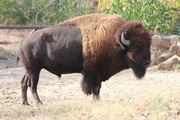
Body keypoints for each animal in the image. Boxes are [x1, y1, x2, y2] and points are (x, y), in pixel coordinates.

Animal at [18, 13, 151, 105]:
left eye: (149, 44)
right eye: (136, 47)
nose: (148, 62)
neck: (115, 40)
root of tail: (24, 41)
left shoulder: (98, 73)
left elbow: (97, 88)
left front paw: (96, 100)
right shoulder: (93, 72)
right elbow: (95, 88)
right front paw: (95, 100)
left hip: (30, 70)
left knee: (24, 82)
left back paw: (26, 103)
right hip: (34, 70)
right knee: (33, 85)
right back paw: (39, 103)